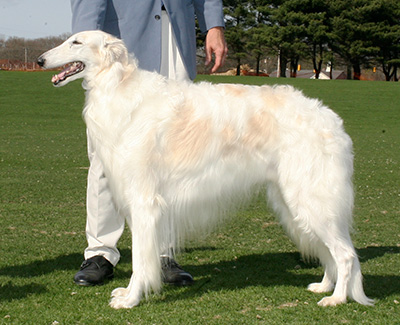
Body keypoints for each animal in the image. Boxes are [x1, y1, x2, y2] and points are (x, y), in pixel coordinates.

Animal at [37, 31, 372, 308]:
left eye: (76, 42)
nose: (40, 60)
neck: (119, 85)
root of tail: (331, 119)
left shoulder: (144, 202)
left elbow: (142, 262)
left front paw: (131, 298)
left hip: (310, 199)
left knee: (345, 254)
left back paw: (337, 298)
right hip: (294, 202)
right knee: (330, 253)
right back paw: (325, 287)